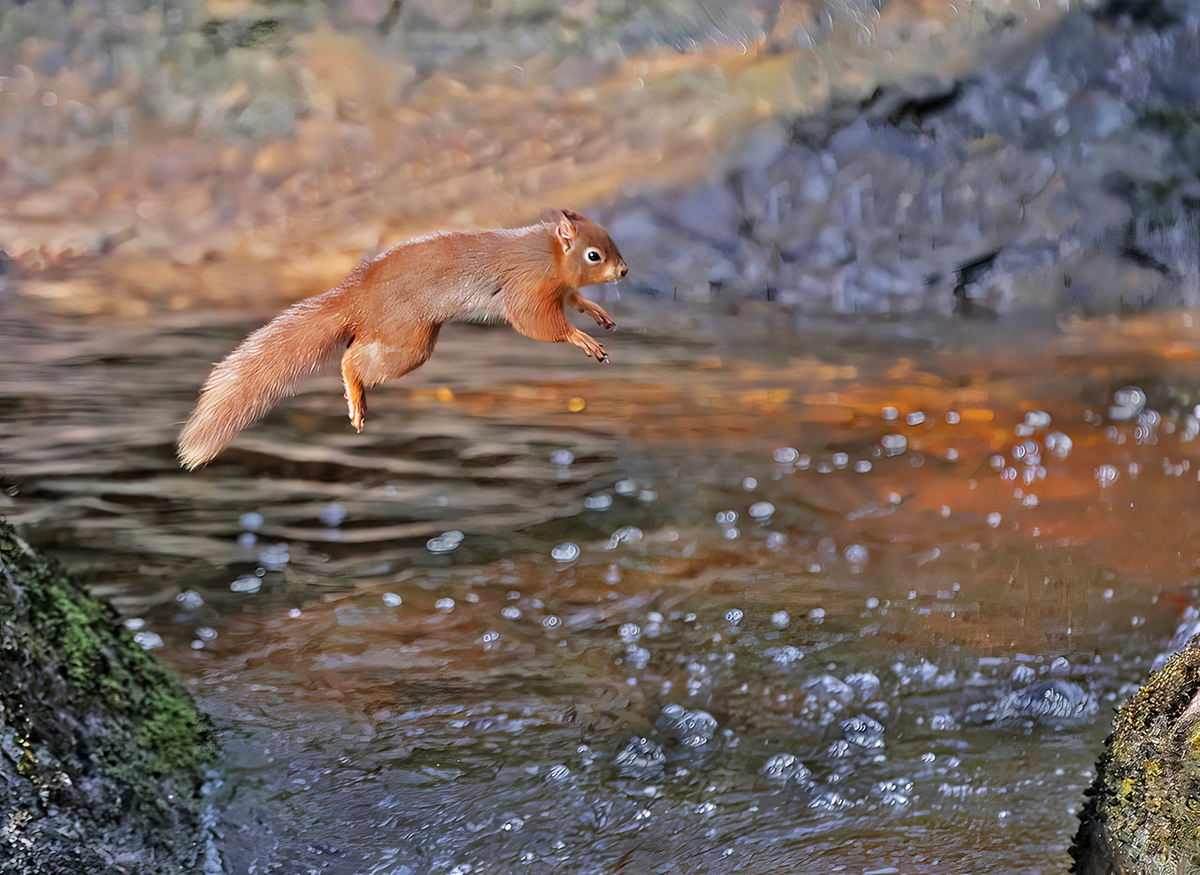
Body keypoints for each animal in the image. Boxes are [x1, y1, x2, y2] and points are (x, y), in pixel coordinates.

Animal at [177, 209, 627, 469]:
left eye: (611, 242)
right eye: (594, 255)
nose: (624, 271)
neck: (547, 253)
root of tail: (355, 296)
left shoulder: (559, 289)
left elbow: (574, 299)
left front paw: (596, 311)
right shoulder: (527, 289)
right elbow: (538, 323)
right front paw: (581, 339)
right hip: (407, 343)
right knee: (352, 359)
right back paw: (354, 395)